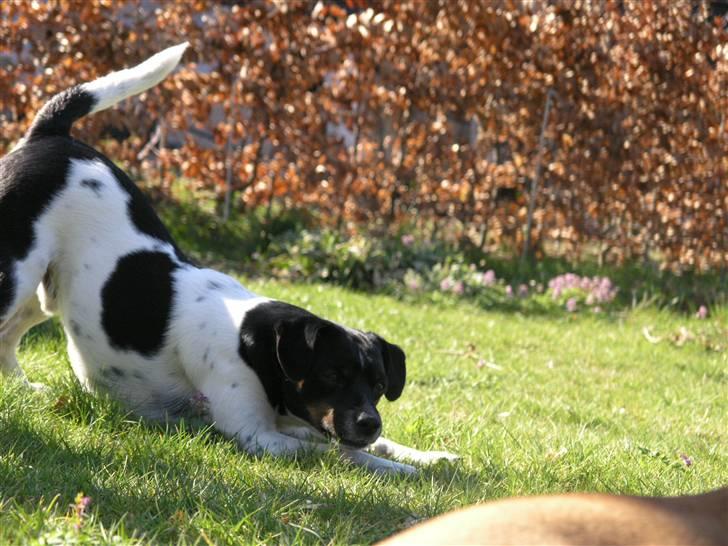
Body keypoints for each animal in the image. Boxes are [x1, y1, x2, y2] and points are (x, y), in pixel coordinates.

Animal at [0, 43, 456, 472]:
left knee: (8, 336)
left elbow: (373, 444)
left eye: (379, 384)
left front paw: (429, 456)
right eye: (331, 374)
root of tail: (48, 135)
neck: (257, 346)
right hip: (16, 274)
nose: (369, 422)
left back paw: (23, 389)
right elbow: (338, 453)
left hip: (47, 293)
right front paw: (397, 469)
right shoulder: (258, 436)